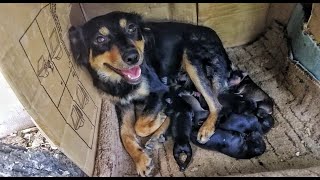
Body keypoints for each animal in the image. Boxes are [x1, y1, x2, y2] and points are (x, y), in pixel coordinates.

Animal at [68, 10, 232, 176]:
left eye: (131, 28)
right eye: (99, 39)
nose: (133, 57)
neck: (121, 82)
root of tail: (214, 34)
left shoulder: (160, 90)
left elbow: (139, 126)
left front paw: (159, 118)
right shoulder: (123, 104)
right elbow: (125, 134)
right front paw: (140, 160)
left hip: (191, 59)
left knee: (216, 103)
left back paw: (205, 128)